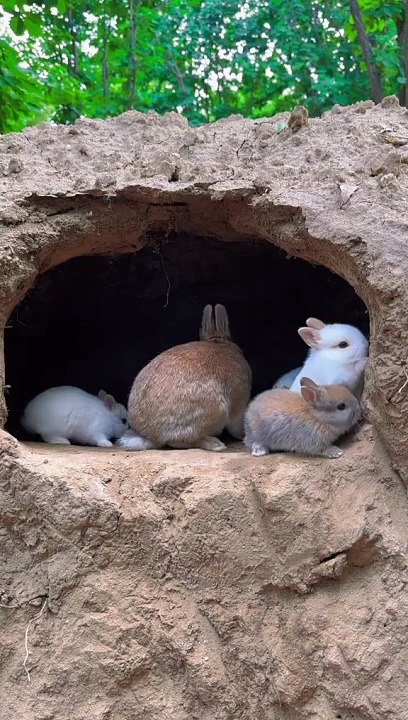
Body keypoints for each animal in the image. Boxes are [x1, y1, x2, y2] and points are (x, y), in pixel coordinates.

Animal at [117, 303, 252, 452]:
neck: (217, 343)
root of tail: (151, 436)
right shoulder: (239, 400)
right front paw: (243, 435)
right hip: (216, 409)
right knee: (179, 442)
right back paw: (215, 444)